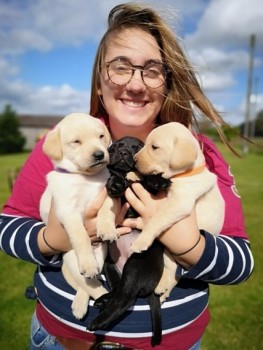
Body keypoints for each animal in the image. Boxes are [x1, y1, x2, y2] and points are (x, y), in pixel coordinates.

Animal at [40, 113, 116, 320]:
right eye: (76, 142)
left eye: (101, 136)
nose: (99, 155)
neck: (86, 177)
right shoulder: (68, 211)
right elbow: (81, 236)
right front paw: (87, 261)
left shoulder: (105, 193)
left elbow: (107, 211)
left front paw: (107, 229)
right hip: (71, 261)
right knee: (87, 284)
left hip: (101, 255)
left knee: (90, 282)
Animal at [87, 135, 172, 346]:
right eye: (116, 146)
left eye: (136, 148)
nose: (124, 152)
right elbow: (114, 177)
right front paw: (116, 184)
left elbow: (147, 179)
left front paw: (158, 180)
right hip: (111, 266)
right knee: (120, 292)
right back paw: (103, 303)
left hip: (136, 264)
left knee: (126, 298)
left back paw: (98, 320)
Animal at [133, 122, 226, 300]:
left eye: (154, 147)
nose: (134, 161)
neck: (186, 174)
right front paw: (134, 175)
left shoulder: (179, 203)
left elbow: (156, 219)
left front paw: (142, 240)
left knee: (174, 275)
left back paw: (162, 290)